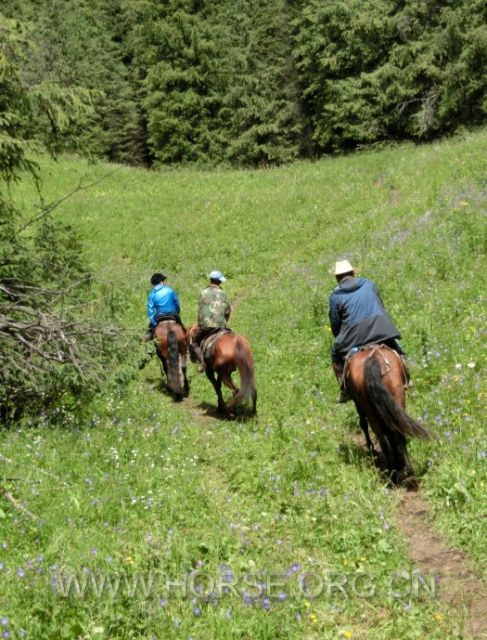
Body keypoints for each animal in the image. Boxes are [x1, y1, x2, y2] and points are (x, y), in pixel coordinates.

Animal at [346, 344, 428, 484]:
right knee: (396, 434)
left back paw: (393, 473)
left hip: (370, 409)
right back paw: (407, 470)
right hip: (396, 399)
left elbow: (363, 424)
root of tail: (374, 358)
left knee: (383, 439)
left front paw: (371, 448)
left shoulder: (358, 403)